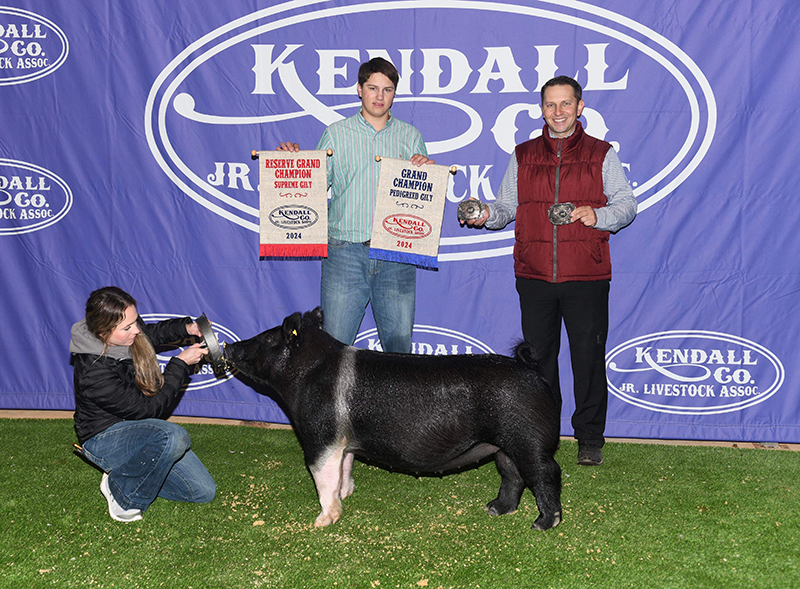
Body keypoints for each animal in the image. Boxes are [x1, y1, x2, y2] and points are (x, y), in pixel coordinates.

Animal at [224, 308, 562, 530]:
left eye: (268, 340)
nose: (229, 346)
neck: (307, 374)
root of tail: (530, 370)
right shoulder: (344, 442)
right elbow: (345, 468)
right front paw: (346, 494)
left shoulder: (320, 437)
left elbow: (323, 478)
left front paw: (321, 522)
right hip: (504, 444)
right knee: (512, 474)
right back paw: (494, 509)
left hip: (528, 439)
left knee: (545, 473)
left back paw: (543, 523)